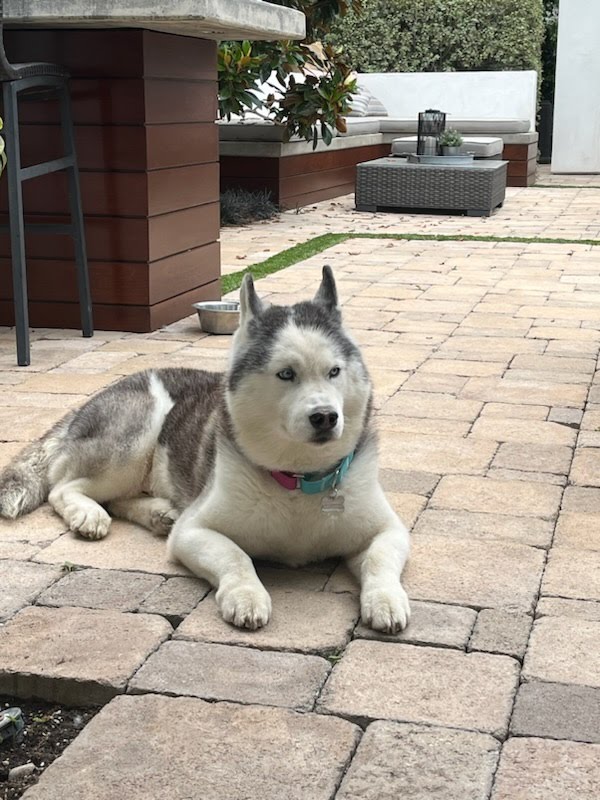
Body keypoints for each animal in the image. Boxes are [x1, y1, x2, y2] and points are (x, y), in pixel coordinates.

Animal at [0, 268, 410, 632]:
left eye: (334, 371)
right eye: (286, 374)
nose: (325, 417)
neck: (299, 478)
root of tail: (100, 394)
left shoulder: (389, 529)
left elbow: (379, 557)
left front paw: (386, 599)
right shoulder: (195, 531)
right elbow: (236, 555)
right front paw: (245, 595)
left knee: (116, 497)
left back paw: (156, 513)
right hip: (135, 436)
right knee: (64, 487)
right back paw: (89, 514)